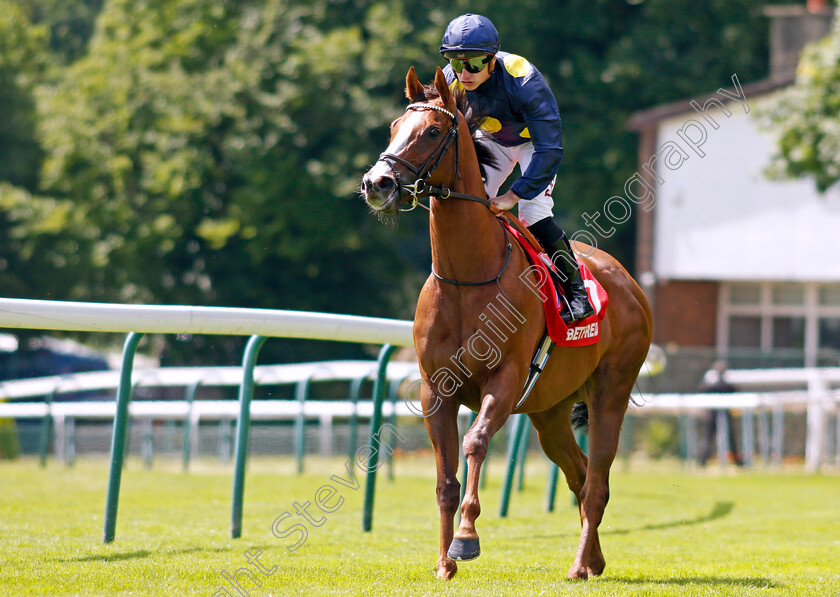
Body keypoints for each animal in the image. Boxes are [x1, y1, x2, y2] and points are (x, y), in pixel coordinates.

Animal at [360, 67, 648, 580]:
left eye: (432, 131)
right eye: (393, 126)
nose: (378, 183)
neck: (466, 276)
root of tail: (629, 284)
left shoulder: (507, 379)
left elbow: (475, 444)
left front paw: (466, 538)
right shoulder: (435, 390)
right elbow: (444, 479)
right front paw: (443, 563)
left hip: (610, 391)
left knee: (597, 480)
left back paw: (579, 565)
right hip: (550, 410)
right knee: (578, 473)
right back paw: (593, 558)